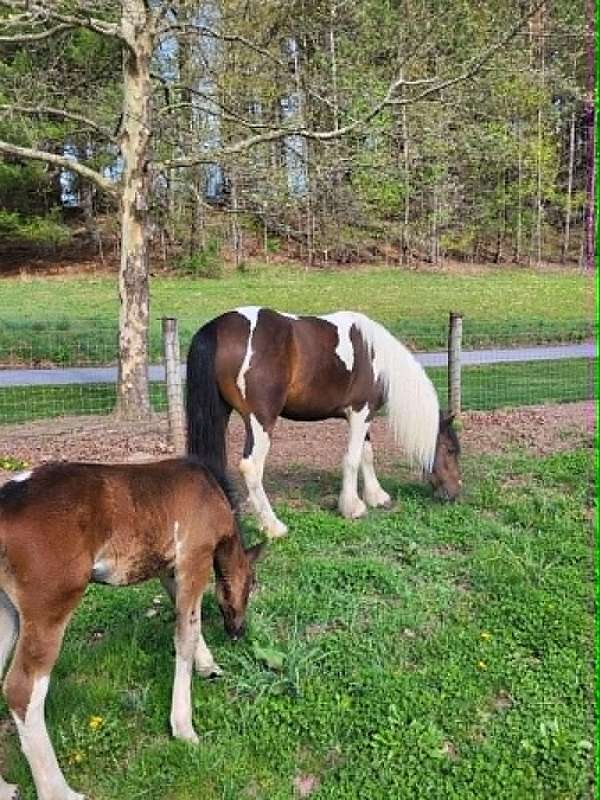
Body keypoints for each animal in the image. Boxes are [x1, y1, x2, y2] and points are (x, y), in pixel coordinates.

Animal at [0, 458, 263, 800]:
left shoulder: (168, 568)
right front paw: (184, 728)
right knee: (22, 689)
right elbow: (185, 635)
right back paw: (60, 791)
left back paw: (5, 787)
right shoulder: (195, 558)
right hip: (50, 605)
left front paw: (209, 666)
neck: (210, 492)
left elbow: (186, 617)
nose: (238, 631)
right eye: (251, 585)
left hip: (6, 608)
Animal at [186, 307, 461, 539]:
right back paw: (274, 527)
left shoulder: (365, 416)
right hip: (260, 421)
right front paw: (353, 508)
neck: (377, 358)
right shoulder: (360, 412)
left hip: (221, 413)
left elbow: (367, 454)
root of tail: (219, 327)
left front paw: (376, 496)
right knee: (251, 467)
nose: (455, 493)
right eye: (450, 450)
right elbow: (352, 458)